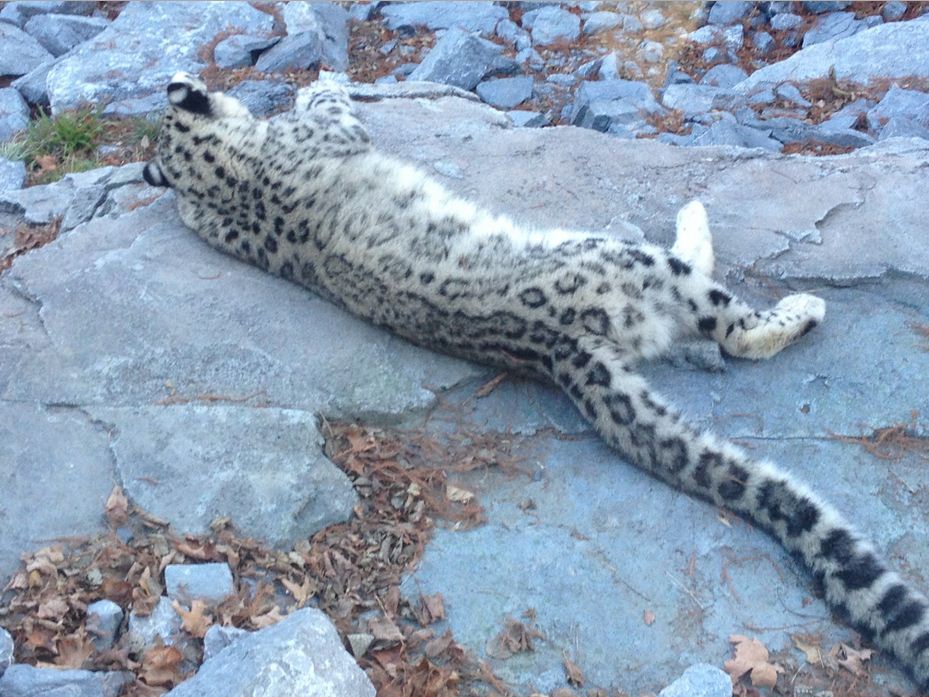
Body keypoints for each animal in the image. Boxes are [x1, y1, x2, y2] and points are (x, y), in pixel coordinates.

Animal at [143, 72, 929, 690]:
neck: (220, 176)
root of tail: (557, 348)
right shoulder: (326, 134)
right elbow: (334, 106)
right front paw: (324, 77)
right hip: (639, 269)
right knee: (728, 327)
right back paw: (743, 259)